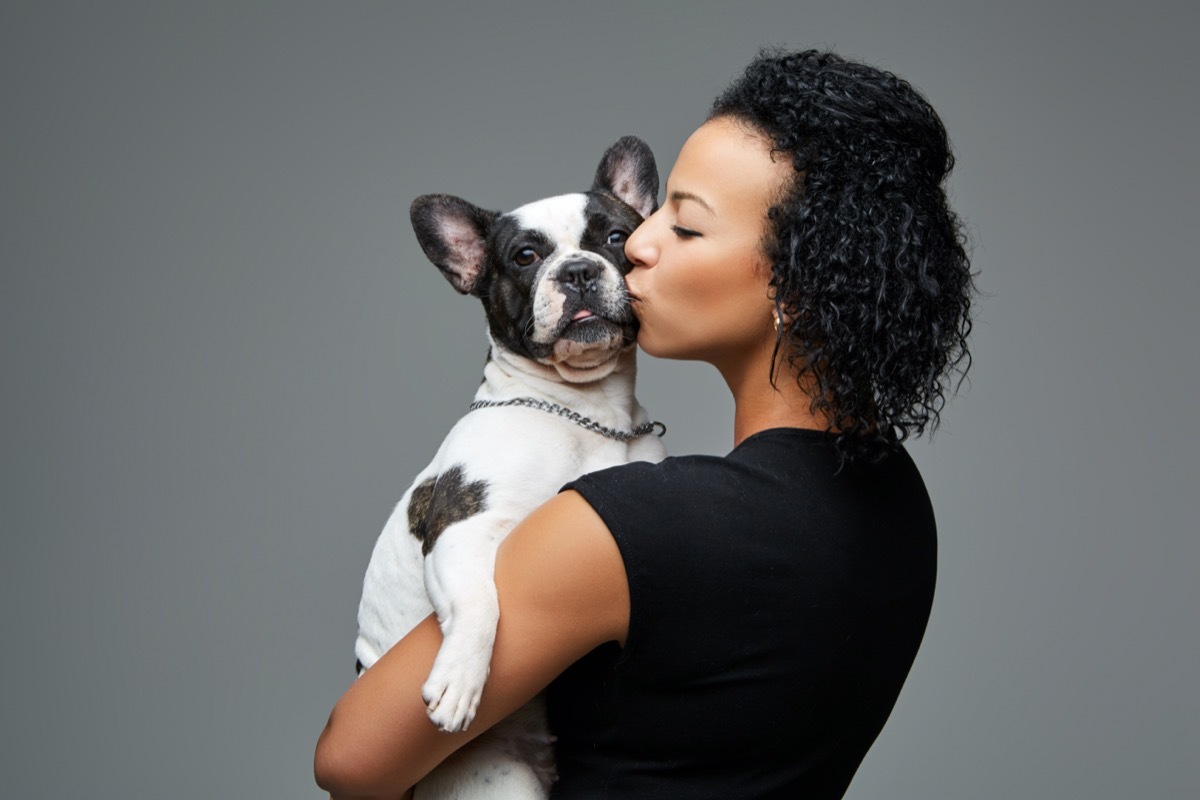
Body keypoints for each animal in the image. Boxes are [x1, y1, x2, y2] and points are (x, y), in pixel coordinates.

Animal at [350, 137, 672, 800]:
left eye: (616, 238)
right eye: (525, 256)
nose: (578, 271)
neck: (587, 412)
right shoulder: (464, 527)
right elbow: (481, 603)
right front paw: (460, 679)